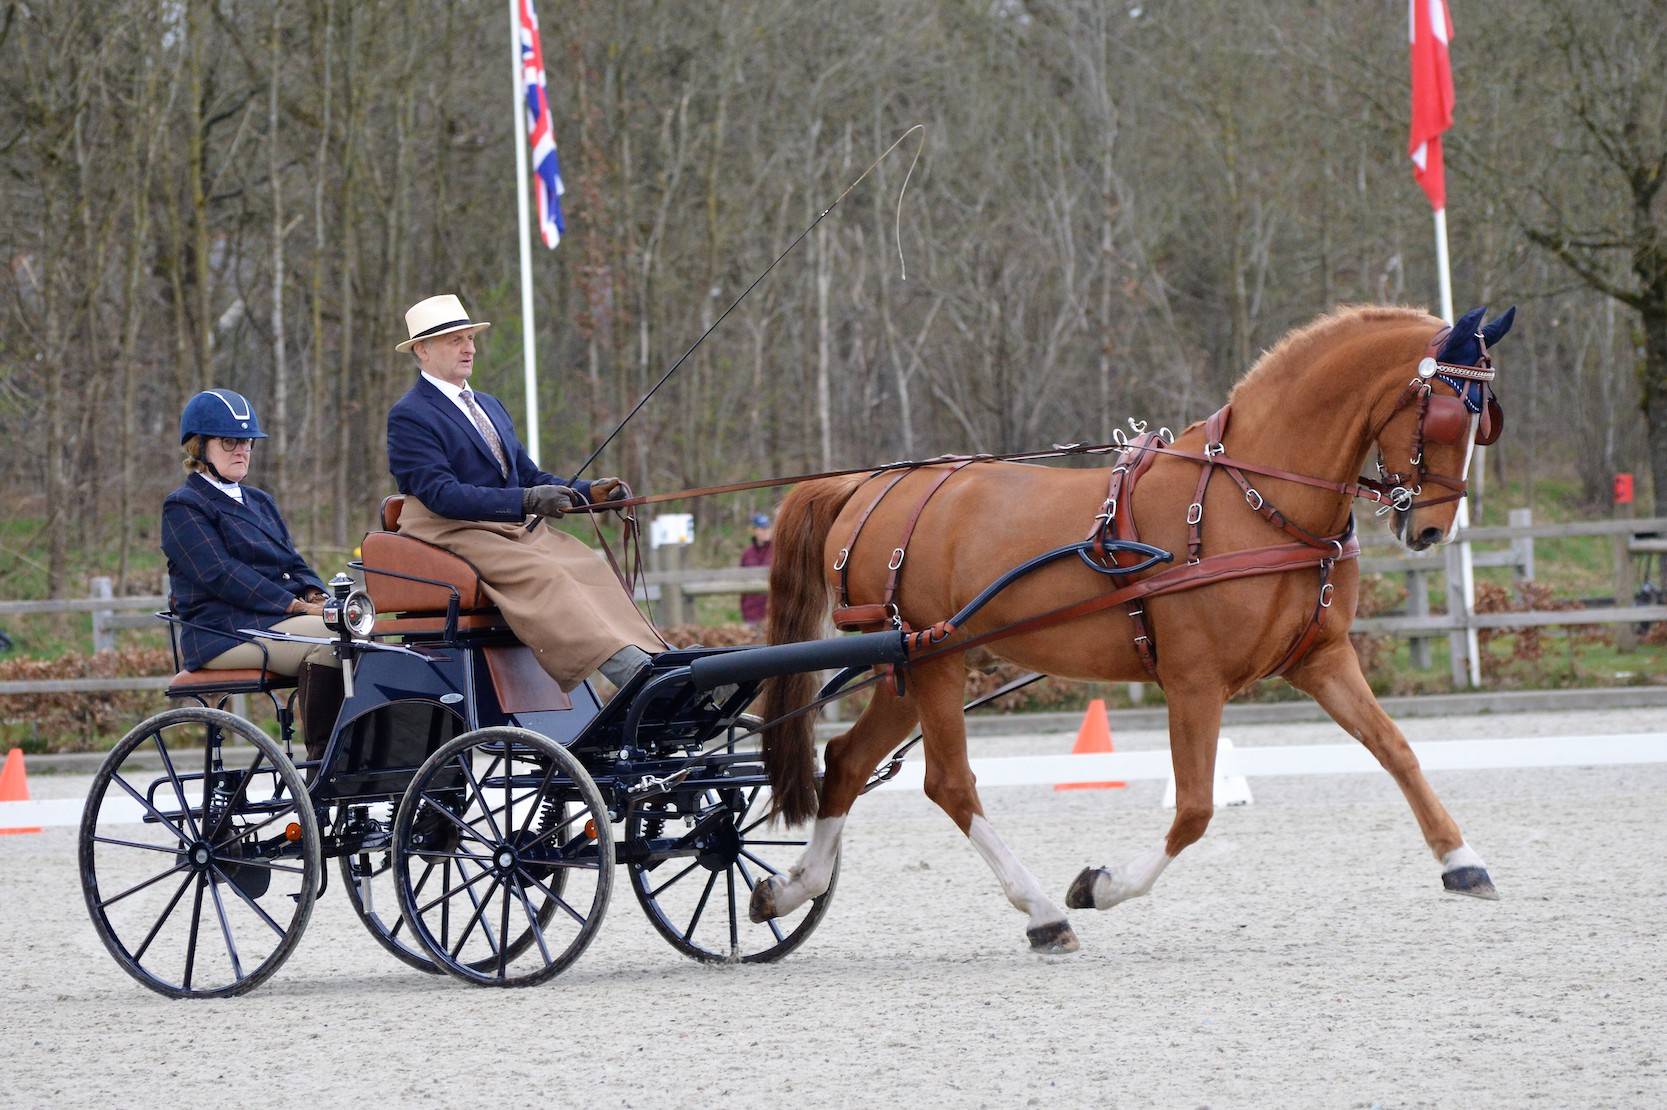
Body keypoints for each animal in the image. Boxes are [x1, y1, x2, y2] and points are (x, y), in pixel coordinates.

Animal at [749, 303, 1516, 953]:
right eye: (1448, 418)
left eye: (1486, 422)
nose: (1430, 531)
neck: (1254, 501)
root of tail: (866, 487)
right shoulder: (1193, 682)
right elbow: (1196, 808)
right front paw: (1102, 886)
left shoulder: (1321, 660)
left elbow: (1396, 750)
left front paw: (1463, 862)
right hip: (933, 662)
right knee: (949, 783)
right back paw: (1042, 912)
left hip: (909, 667)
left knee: (846, 760)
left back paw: (789, 890)